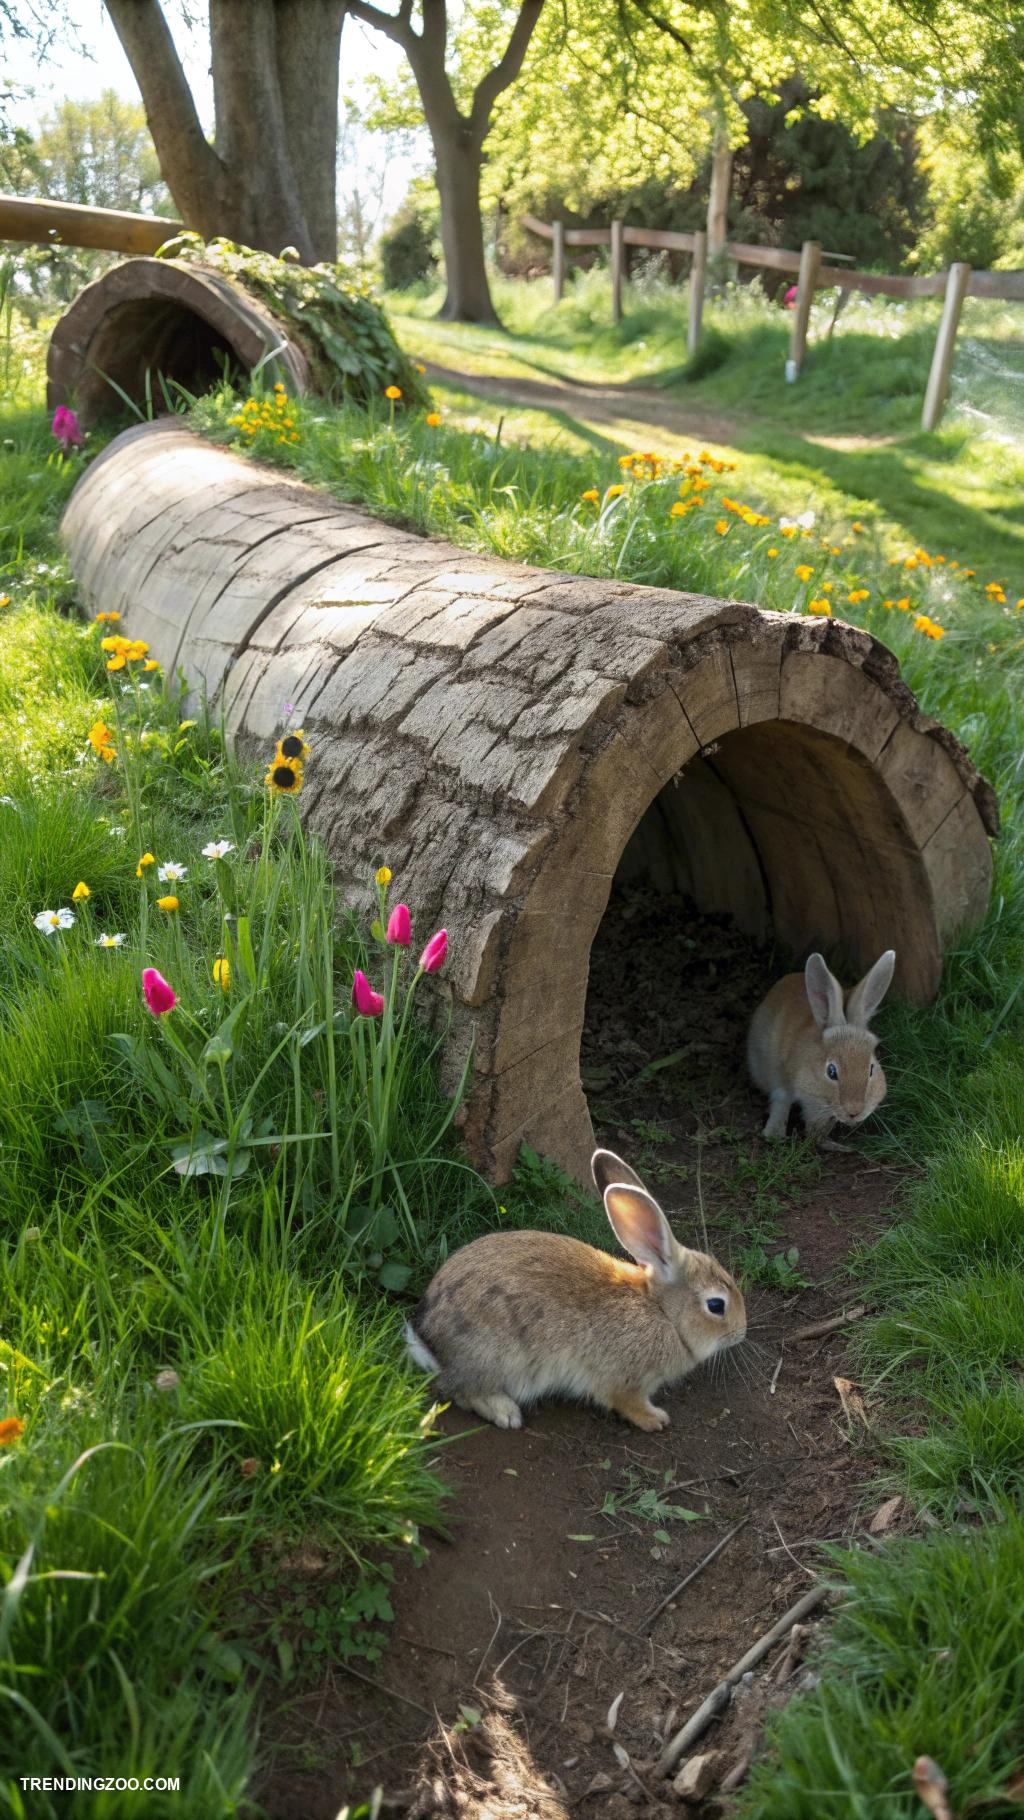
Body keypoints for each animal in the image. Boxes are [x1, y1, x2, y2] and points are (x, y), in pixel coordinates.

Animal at [403, 1148, 746, 1432]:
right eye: (716, 1305)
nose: (741, 1333)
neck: (662, 1312)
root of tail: (431, 1343)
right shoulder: (623, 1381)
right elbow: (626, 1402)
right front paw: (655, 1419)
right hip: (497, 1358)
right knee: (461, 1391)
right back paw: (506, 1412)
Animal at [747, 949, 895, 1143]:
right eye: (831, 1072)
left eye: (871, 1069)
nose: (854, 1111)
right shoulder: (781, 1076)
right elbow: (781, 1099)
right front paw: (774, 1134)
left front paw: (819, 1136)